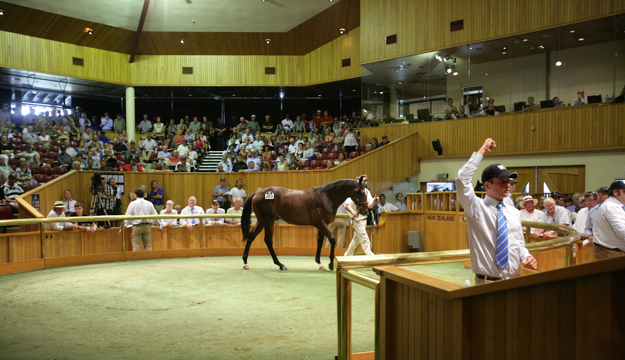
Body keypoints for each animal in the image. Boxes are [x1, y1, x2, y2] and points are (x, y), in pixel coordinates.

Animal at [238, 174, 366, 270]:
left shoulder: (322, 225)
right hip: (269, 220)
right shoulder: (320, 223)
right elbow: (332, 239)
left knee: (251, 237)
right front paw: (330, 264)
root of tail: (257, 193)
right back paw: (280, 264)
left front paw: (319, 263)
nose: (364, 210)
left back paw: (245, 262)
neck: (326, 197)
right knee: (268, 240)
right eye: (362, 192)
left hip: (261, 221)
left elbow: (320, 242)